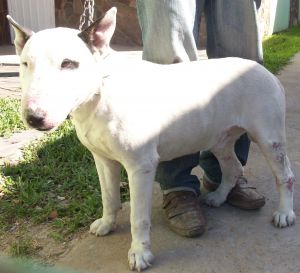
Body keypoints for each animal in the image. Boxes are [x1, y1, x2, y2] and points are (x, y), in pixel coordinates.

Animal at [7, 7, 296, 270]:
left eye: (68, 63)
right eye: (25, 64)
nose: (34, 117)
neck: (100, 91)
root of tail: (263, 70)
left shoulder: (140, 168)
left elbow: (138, 217)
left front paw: (139, 253)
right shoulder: (102, 160)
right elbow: (109, 198)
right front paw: (107, 224)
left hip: (269, 139)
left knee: (285, 176)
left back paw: (285, 213)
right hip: (220, 139)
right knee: (233, 167)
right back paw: (218, 197)